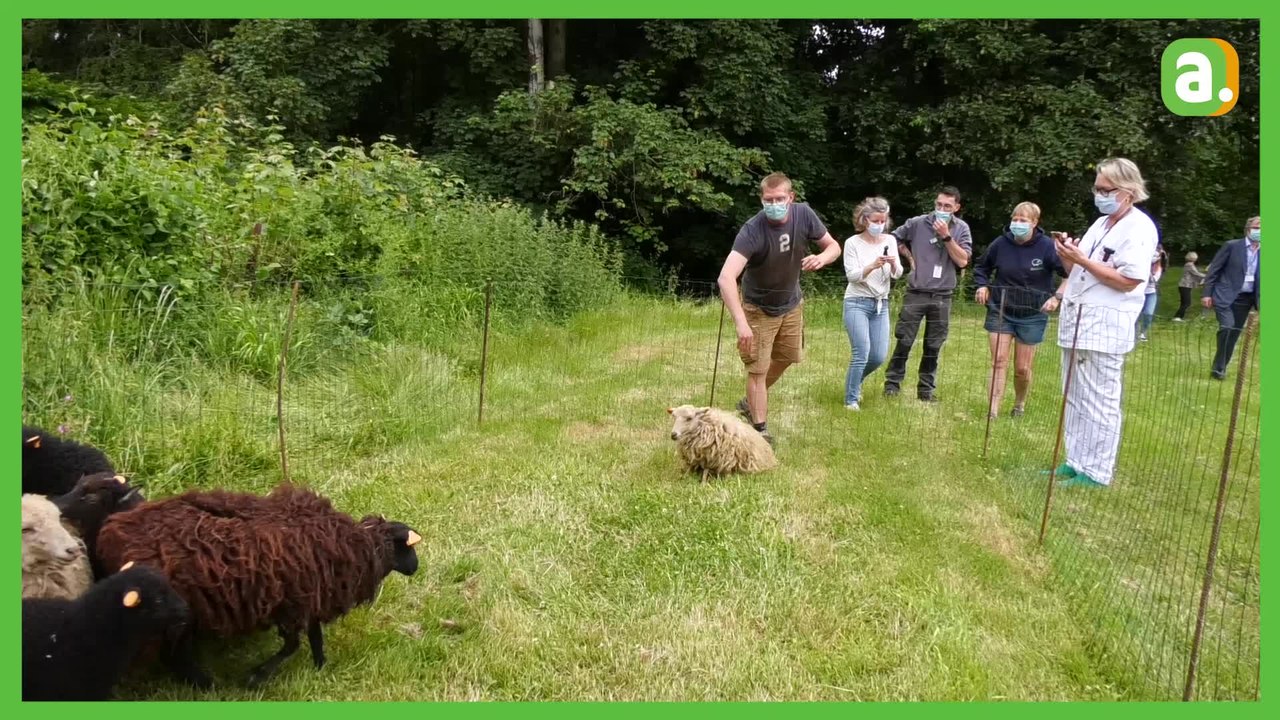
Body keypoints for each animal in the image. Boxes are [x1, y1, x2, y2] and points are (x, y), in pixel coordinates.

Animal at [94, 483, 423, 689]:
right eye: (407, 547)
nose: (416, 568)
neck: (361, 546)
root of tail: (113, 536)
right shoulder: (293, 602)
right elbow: (292, 645)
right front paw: (256, 677)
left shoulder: (308, 596)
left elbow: (314, 637)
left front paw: (320, 667)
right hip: (173, 615)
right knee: (175, 656)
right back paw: (209, 687)